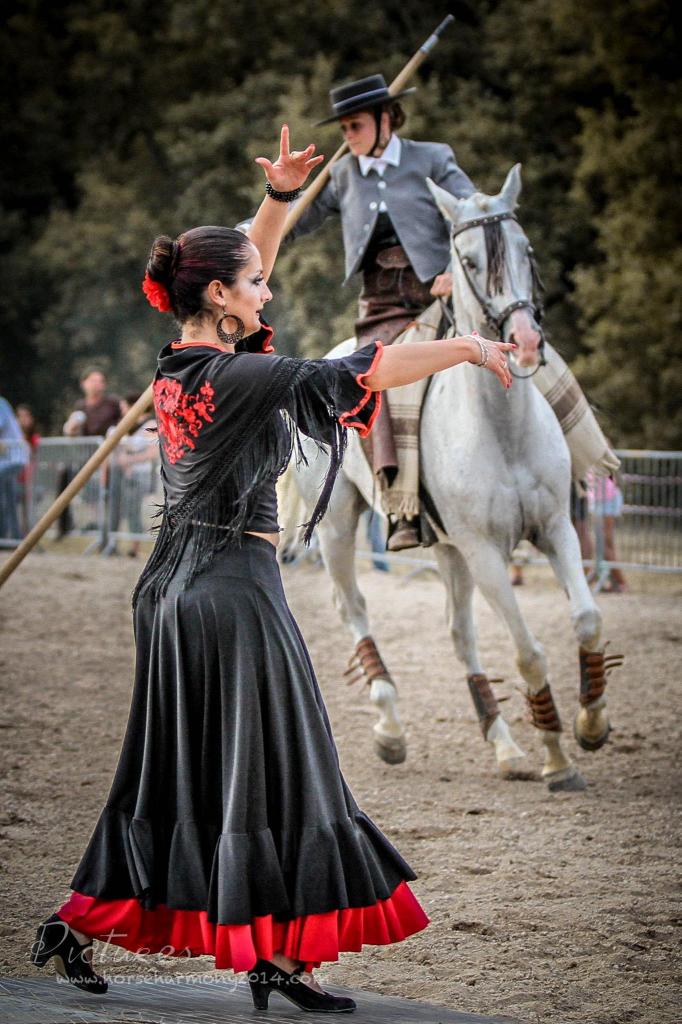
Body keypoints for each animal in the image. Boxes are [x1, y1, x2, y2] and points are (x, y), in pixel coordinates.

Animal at [280, 165, 622, 790]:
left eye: (524, 247)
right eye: (466, 259)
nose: (525, 342)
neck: (501, 424)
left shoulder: (555, 528)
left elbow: (586, 618)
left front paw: (591, 722)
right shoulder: (485, 551)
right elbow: (528, 651)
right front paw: (557, 756)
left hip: (446, 548)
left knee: (459, 634)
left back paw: (504, 744)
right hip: (341, 527)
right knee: (353, 607)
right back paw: (391, 728)